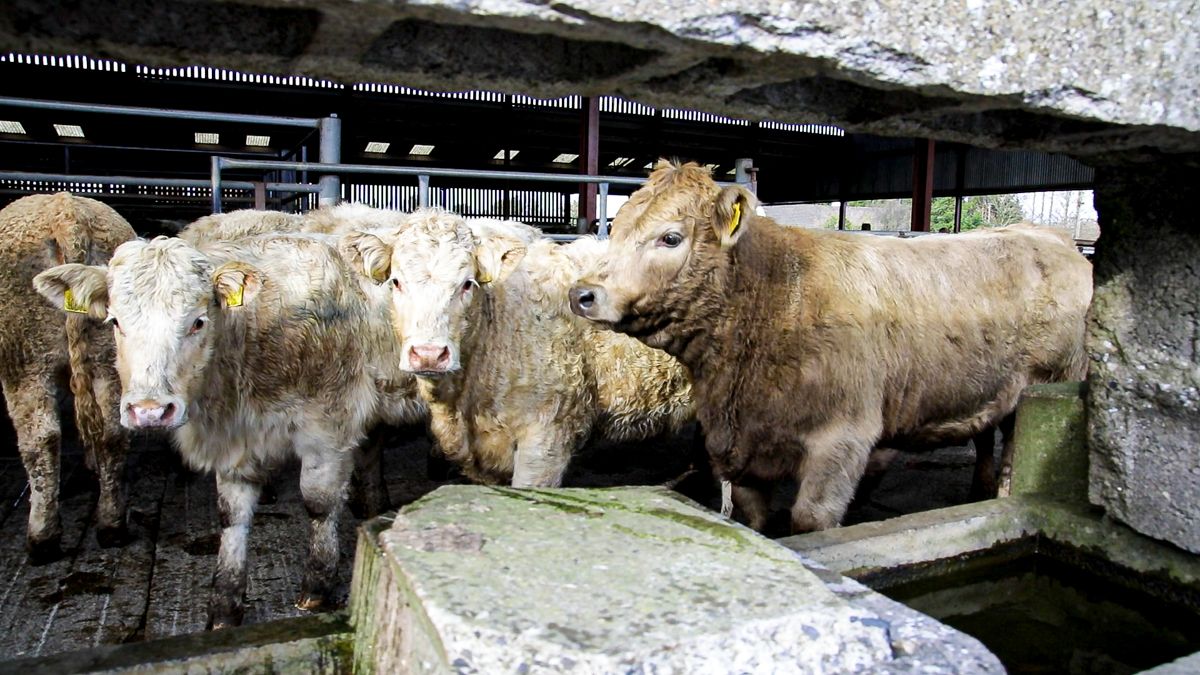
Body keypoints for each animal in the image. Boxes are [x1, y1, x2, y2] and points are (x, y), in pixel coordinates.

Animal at [1, 193, 135, 562]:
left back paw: (42, 536)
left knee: (42, 439)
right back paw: (112, 524)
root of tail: (66, 213)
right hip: (107, 352)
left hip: (24, 356)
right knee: (112, 432)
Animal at [33, 234, 421, 628]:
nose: (149, 410)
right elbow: (231, 516)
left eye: (198, 322)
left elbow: (318, 503)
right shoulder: (235, 444)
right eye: (115, 321)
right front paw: (224, 603)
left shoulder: (328, 429)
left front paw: (316, 585)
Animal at [569, 161, 1092, 533]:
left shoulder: (842, 440)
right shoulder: (743, 453)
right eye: (616, 228)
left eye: (671, 237)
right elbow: (753, 520)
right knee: (985, 440)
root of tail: (1056, 241)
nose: (582, 294)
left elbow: (810, 522)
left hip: (1047, 389)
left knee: (1015, 463)